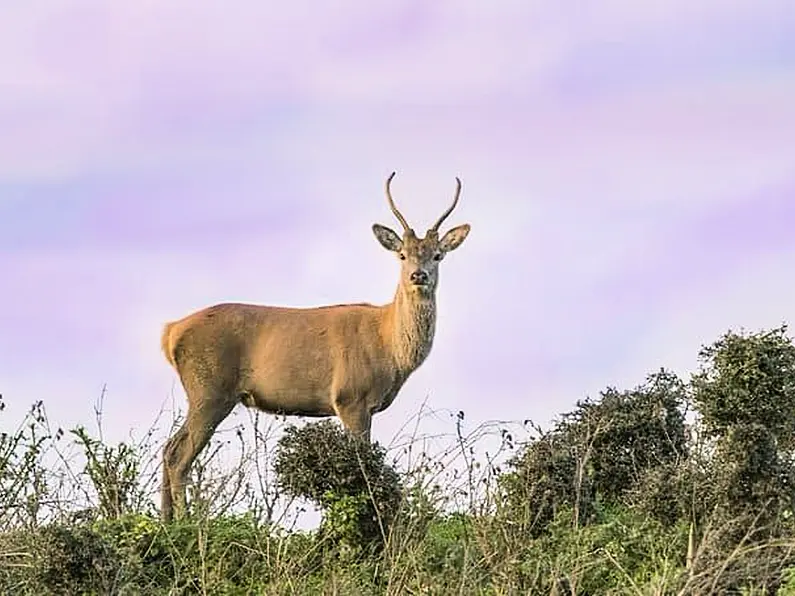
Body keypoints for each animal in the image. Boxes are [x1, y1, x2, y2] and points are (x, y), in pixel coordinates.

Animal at [160, 172, 472, 520]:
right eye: (402, 254)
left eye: (438, 254)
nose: (418, 275)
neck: (390, 349)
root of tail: (170, 332)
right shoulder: (351, 397)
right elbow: (362, 468)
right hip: (209, 390)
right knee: (179, 455)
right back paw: (186, 524)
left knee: (168, 448)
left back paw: (165, 521)